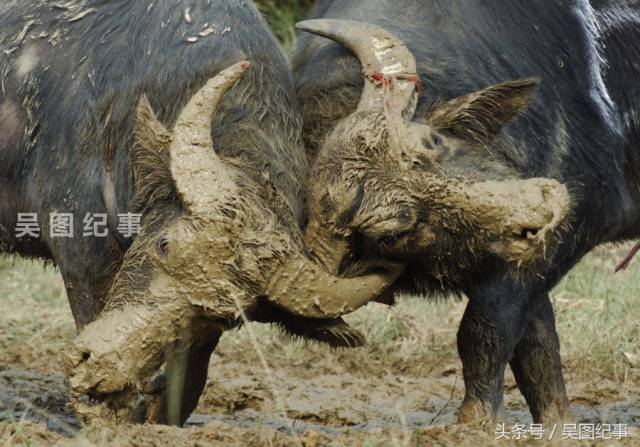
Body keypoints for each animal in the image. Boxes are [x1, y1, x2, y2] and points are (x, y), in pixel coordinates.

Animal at [0, 0, 398, 426]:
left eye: (222, 316)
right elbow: (91, 306)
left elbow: (187, 381)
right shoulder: (80, 246)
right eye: (164, 245)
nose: (98, 366)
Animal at [292, 0, 636, 428]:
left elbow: (492, 327)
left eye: (433, 142)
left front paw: (479, 420)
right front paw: (547, 424)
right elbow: (531, 343)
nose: (540, 208)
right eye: (390, 233)